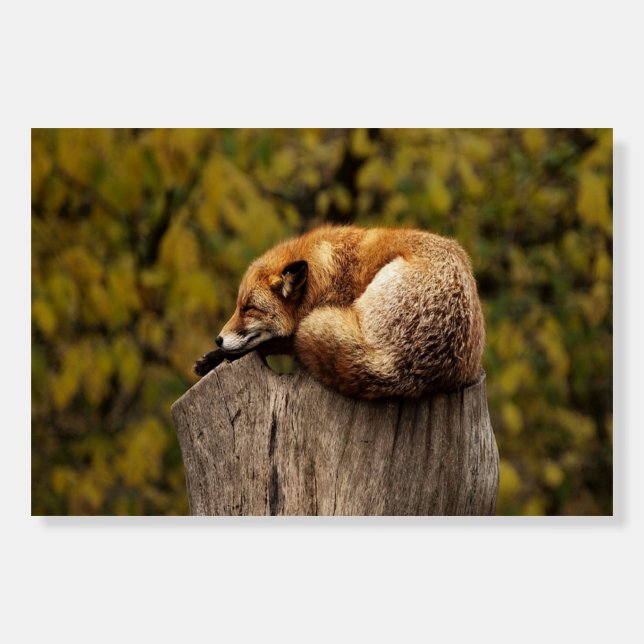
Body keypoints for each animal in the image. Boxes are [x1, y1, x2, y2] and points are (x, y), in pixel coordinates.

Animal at [194, 225, 485, 399]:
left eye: (249, 308)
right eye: (238, 306)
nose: (218, 339)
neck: (327, 274)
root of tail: (400, 369)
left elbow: (270, 344)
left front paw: (216, 357)